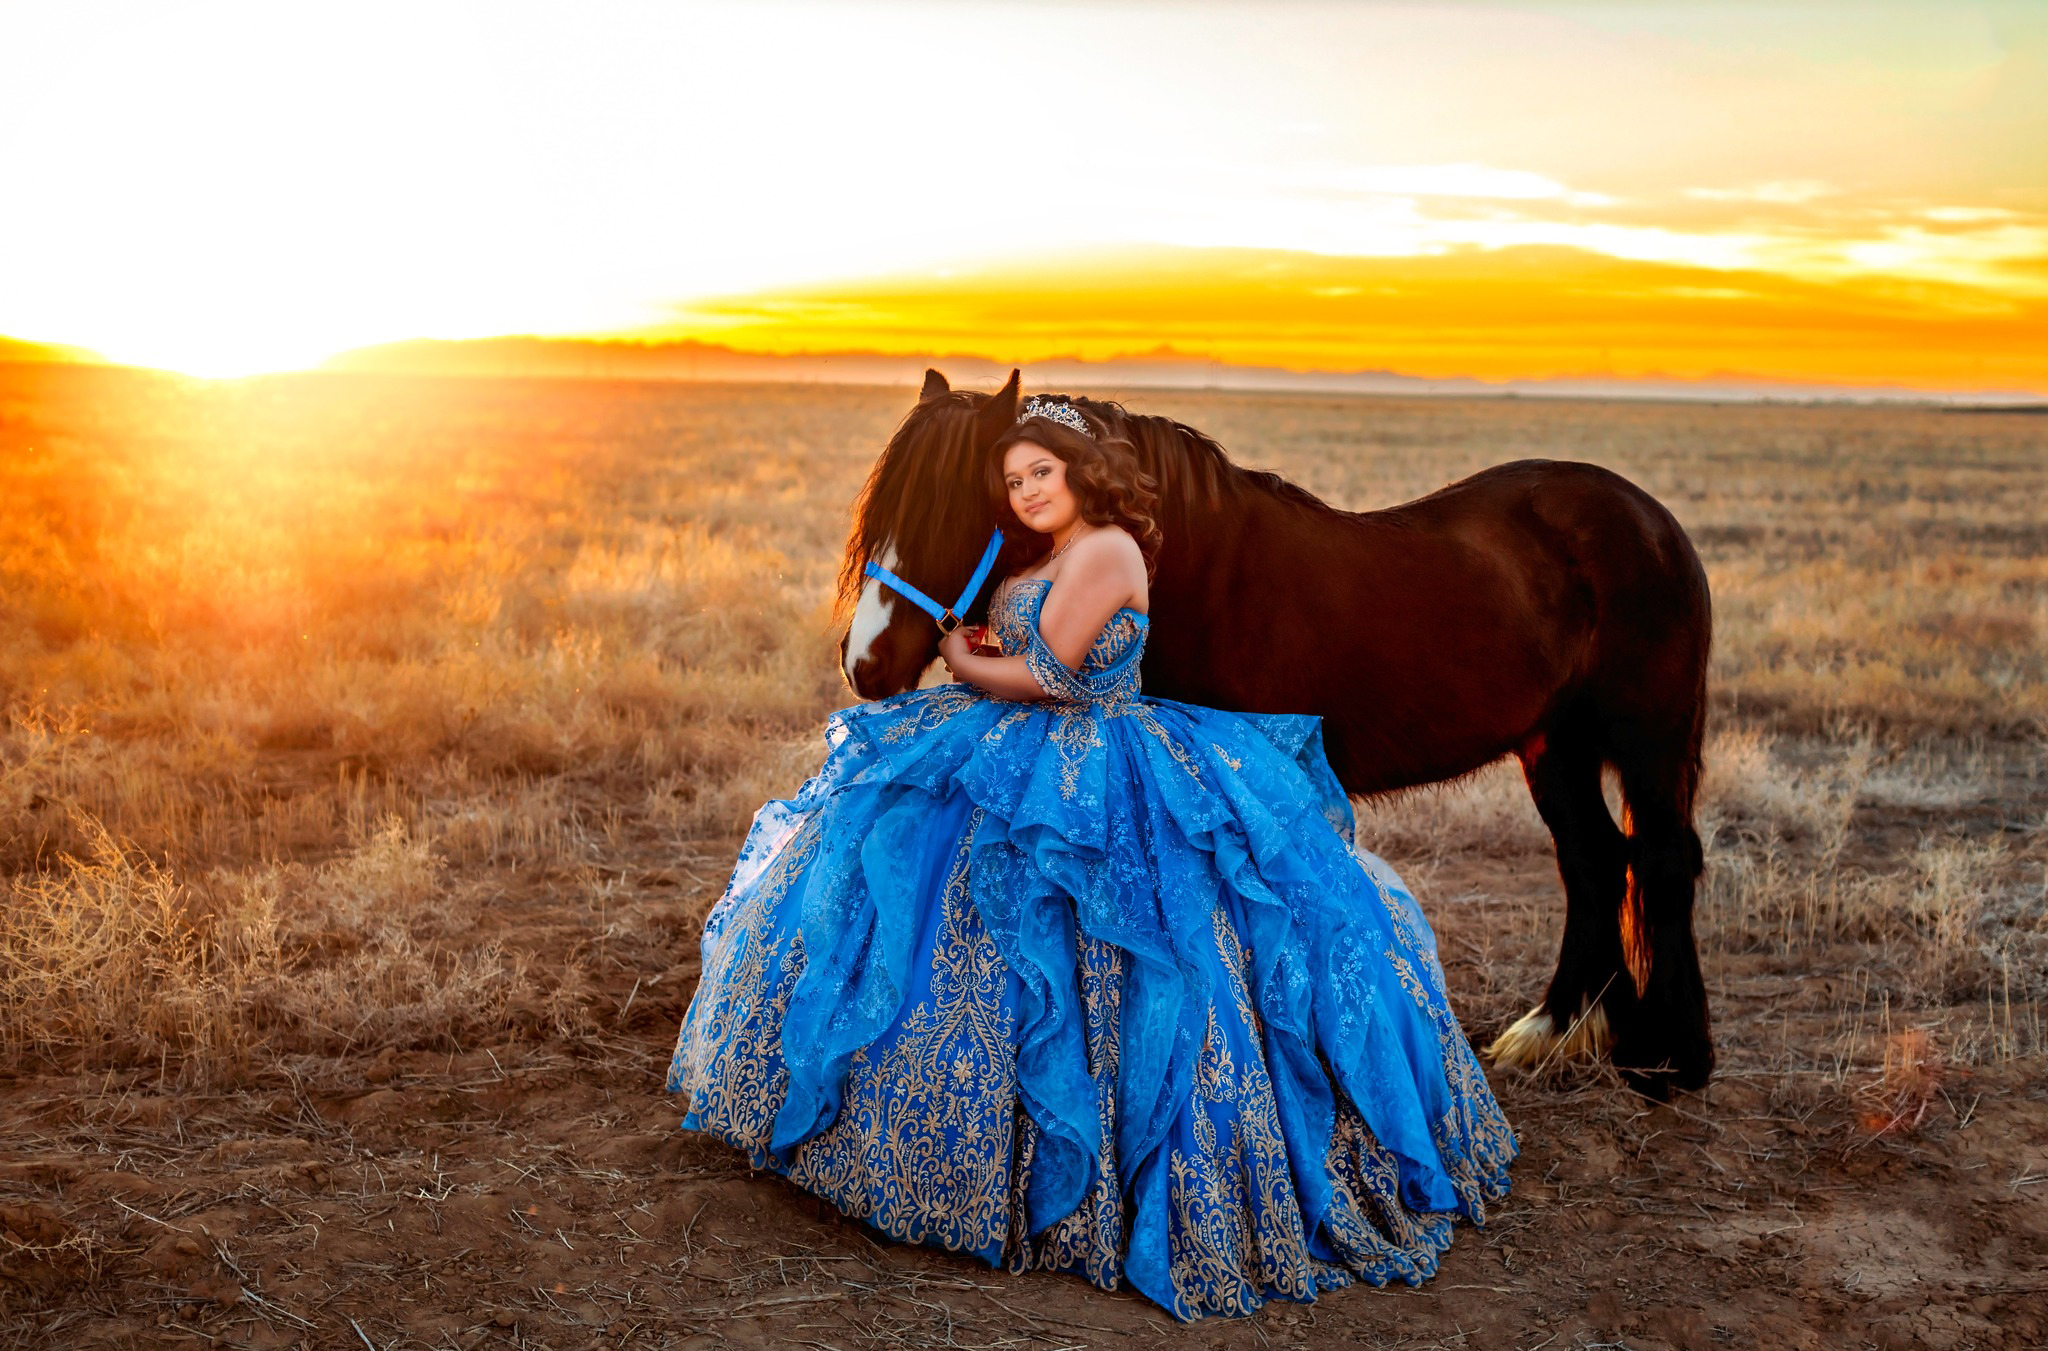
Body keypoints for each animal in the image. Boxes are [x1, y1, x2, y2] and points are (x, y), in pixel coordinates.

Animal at [835, 368, 1712, 1097]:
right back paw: (1559, 1027)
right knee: (1594, 858)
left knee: (1660, 859)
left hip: (1647, 738)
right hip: (1553, 743)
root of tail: (1650, 518)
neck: (1196, 568)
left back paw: (1670, 1061)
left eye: (958, 511)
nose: (864, 662)